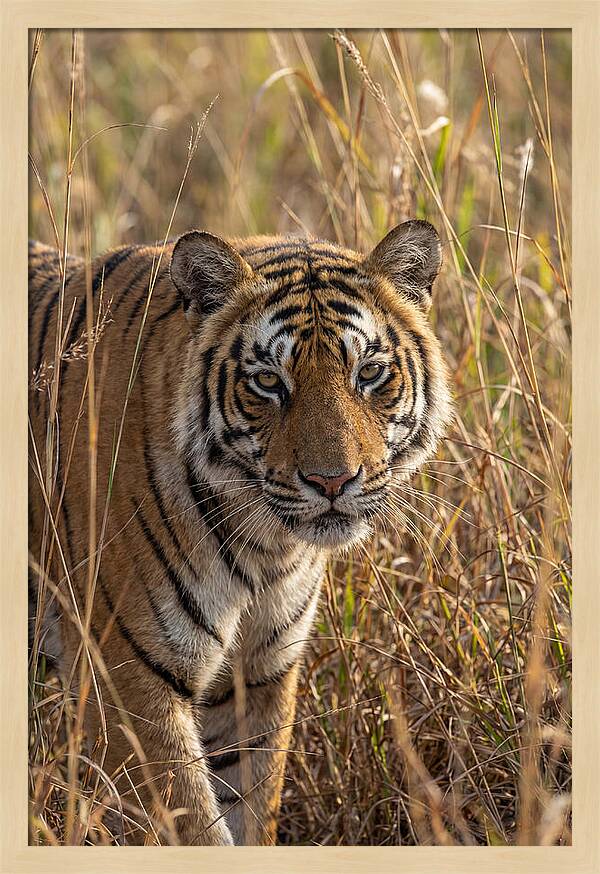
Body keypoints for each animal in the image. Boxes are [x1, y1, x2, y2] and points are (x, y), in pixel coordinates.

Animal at [28, 220, 452, 845]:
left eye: (370, 373)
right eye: (269, 382)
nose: (332, 480)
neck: (265, 548)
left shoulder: (258, 673)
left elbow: (251, 806)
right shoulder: (127, 679)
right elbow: (192, 827)